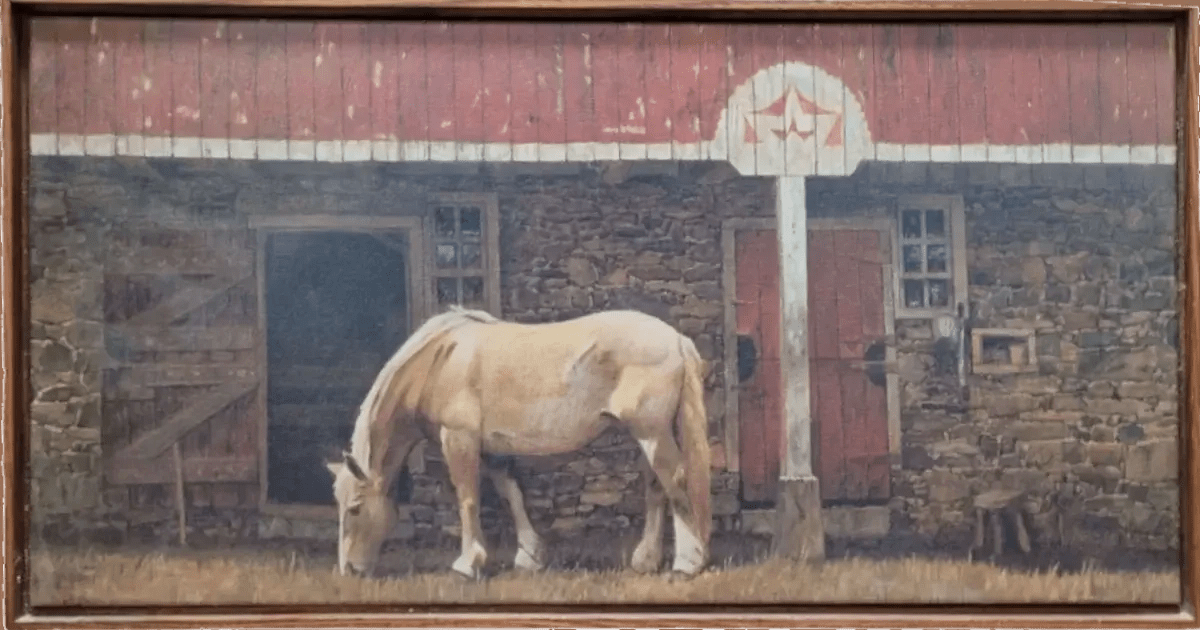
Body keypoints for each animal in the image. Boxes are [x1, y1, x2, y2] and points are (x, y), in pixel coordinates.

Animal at [323, 306, 712, 580]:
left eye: (355, 508)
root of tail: (676, 339)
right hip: (650, 435)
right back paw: (647, 561)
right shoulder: (494, 449)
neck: (438, 363)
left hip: (652, 433)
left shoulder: (459, 439)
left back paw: (687, 562)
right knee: (656, 488)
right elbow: (511, 494)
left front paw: (469, 563)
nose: (349, 571)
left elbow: (468, 498)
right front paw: (530, 556)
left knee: (675, 481)